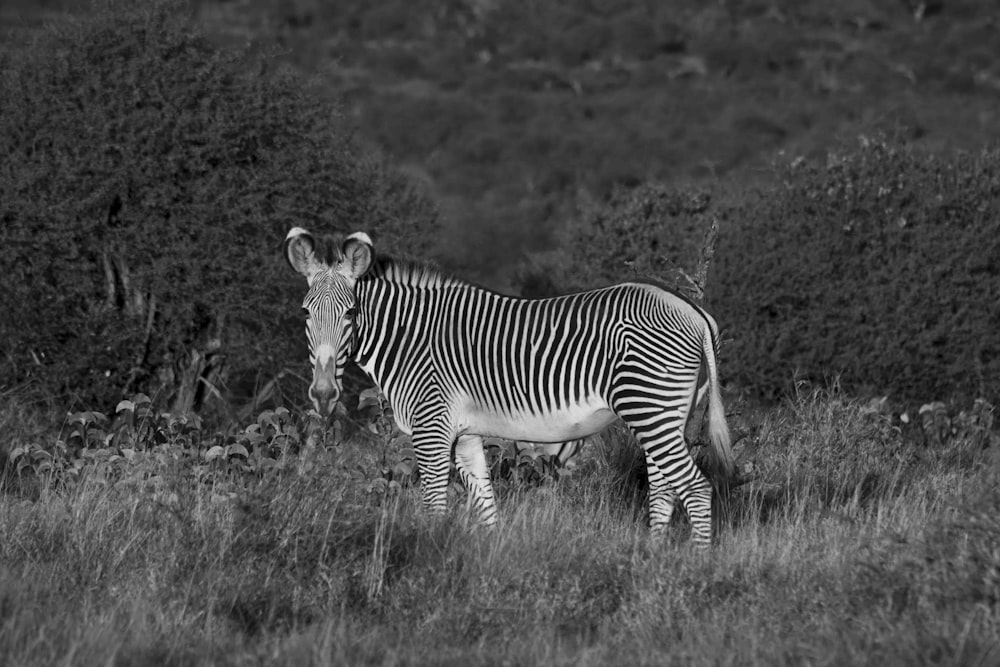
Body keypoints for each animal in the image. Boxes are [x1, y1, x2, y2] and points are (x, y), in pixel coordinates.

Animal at [286, 231, 732, 548]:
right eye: (306, 313)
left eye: (350, 313)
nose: (323, 395)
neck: (410, 338)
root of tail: (693, 310)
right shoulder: (465, 434)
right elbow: (486, 508)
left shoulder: (431, 429)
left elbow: (434, 508)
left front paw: (426, 558)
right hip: (665, 413)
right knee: (664, 489)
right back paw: (653, 561)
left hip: (649, 406)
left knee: (695, 488)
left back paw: (695, 567)